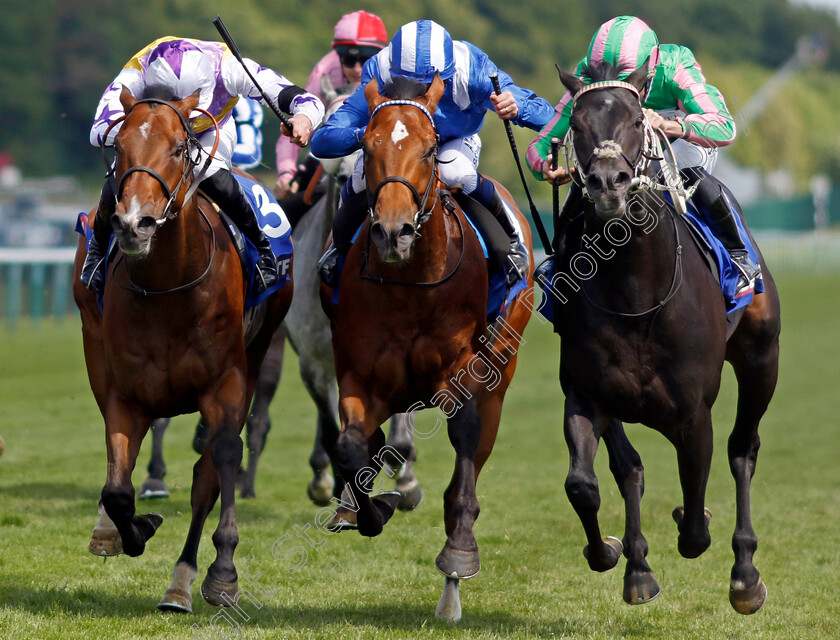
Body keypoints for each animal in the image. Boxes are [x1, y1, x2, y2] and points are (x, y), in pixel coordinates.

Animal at [75, 87, 292, 612]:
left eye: (178, 148)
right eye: (119, 148)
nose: (134, 224)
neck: (168, 287)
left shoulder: (227, 383)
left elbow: (220, 463)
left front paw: (222, 573)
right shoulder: (126, 394)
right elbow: (118, 487)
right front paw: (133, 527)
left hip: (261, 350)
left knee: (208, 473)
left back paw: (183, 581)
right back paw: (110, 531)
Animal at [318, 74, 536, 620]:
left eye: (430, 148)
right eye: (368, 146)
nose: (393, 232)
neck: (411, 285)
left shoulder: (461, 377)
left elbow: (463, 457)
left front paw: (458, 555)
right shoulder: (360, 375)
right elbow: (349, 446)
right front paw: (369, 509)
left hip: (500, 374)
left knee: (474, 455)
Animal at [548, 61, 784, 616]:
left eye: (637, 119)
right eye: (578, 124)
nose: (607, 183)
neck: (637, 293)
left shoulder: (693, 412)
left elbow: (696, 518)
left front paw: (699, 534)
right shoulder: (586, 394)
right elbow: (585, 485)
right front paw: (613, 554)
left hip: (762, 359)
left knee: (743, 449)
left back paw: (745, 574)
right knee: (628, 469)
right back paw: (637, 566)